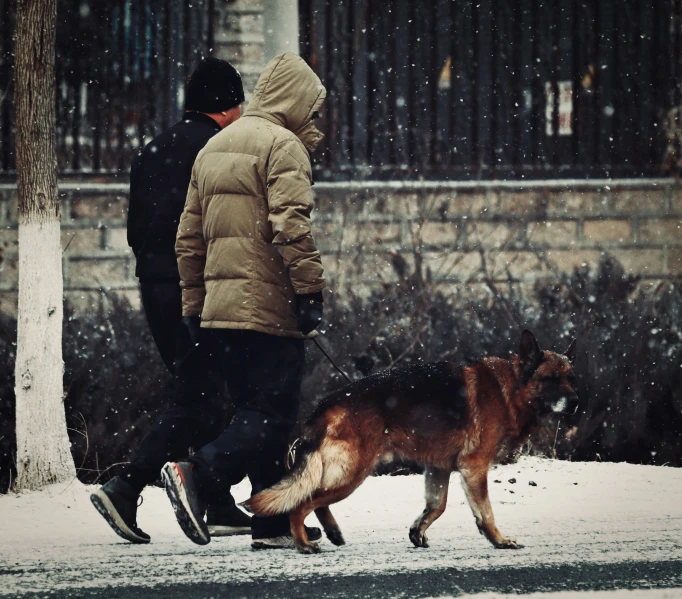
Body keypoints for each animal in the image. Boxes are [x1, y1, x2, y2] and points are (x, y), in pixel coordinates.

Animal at [244, 330, 572, 556]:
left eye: (570, 378)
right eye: (551, 379)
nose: (577, 400)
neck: (511, 388)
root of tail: (326, 404)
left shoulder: (439, 469)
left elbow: (436, 506)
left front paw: (418, 531)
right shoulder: (474, 468)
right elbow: (486, 512)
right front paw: (499, 540)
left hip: (346, 474)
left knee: (315, 500)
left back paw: (333, 531)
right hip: (353, 475)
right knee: (301, 504)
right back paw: (303, 543)